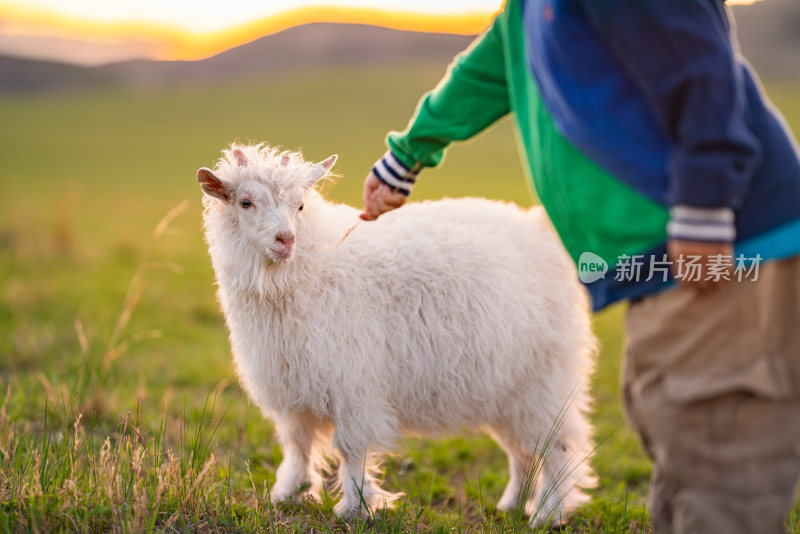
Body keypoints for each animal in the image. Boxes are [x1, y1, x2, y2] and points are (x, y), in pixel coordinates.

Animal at [199, 143, 596, 528]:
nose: (285, 239)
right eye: (245, 202)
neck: (311, 269)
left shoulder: (353, 383)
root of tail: (542, 233)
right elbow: (298, 444)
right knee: (523, 451)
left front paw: (355, 508)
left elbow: (351, 448)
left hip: (544, 380)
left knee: (557, 446)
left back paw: (549, 513)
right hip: (508, 388)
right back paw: (512, 505)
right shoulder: (291, 386)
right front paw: (288, 494)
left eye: (300, 205)